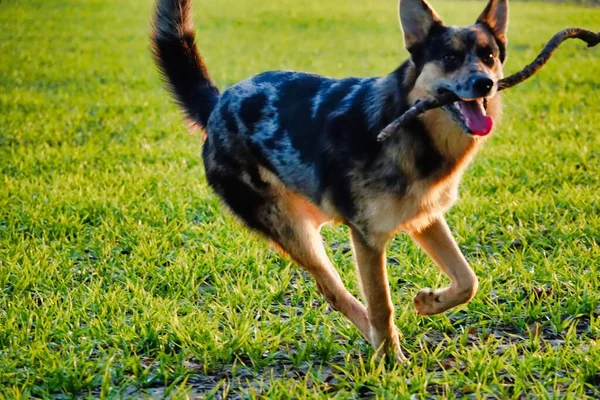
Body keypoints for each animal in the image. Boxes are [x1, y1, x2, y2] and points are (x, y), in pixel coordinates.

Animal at [152, 0, 508, 362]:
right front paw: (391, 359)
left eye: (489, 56)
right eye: (450, 57)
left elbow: (468, 280)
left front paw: (429, 301)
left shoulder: (426, 219)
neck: (412, 129)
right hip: (295, 231)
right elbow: (381, 306)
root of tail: (217, 105)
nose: (484, 84)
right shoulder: (367, 237)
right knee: (333, 291)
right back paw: (379, 343)